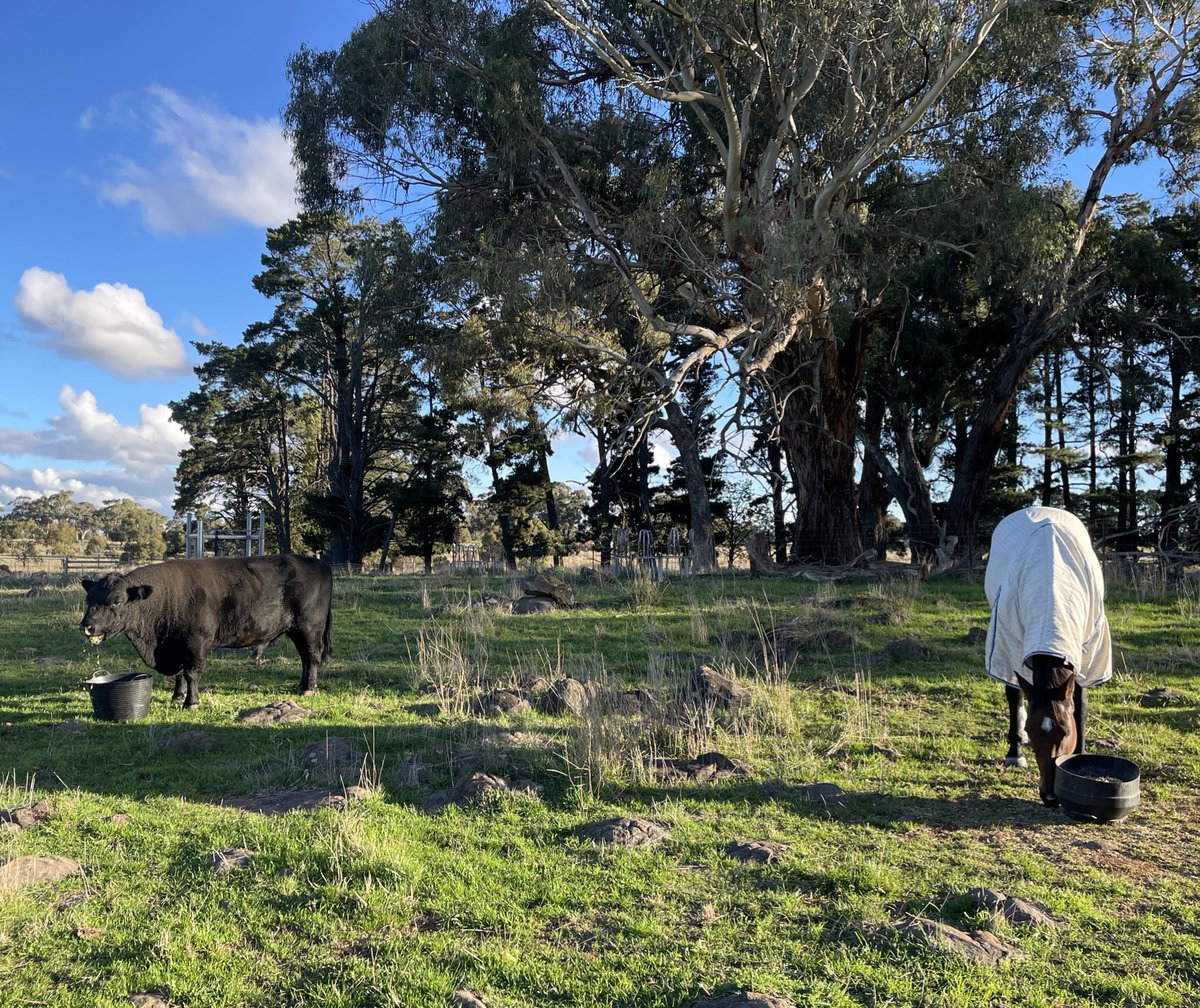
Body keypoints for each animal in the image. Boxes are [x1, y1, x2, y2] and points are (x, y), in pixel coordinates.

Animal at [79, 552, 331, 710]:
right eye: (89, 599)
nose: (87, 626)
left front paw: (191, 702)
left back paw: (309, 688)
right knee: (305, 658)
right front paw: (176, 696)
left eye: (117, 601)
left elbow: (192, 673)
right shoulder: (176, 646)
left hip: (309, 626)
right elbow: (180, 674)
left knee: (312, 656)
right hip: (295, 630)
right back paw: (301, 686)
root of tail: (317, 563)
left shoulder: (196, 643)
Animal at [988, 508, 1108, 806]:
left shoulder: (1087, 654)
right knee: (1015, 694)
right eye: (1032, 733)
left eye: (1065, 731)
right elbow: (1015, 696)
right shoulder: (1011, 644)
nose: (1051, 796)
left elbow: (1080, 705)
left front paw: (1080, 753)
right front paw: (1016, 751)